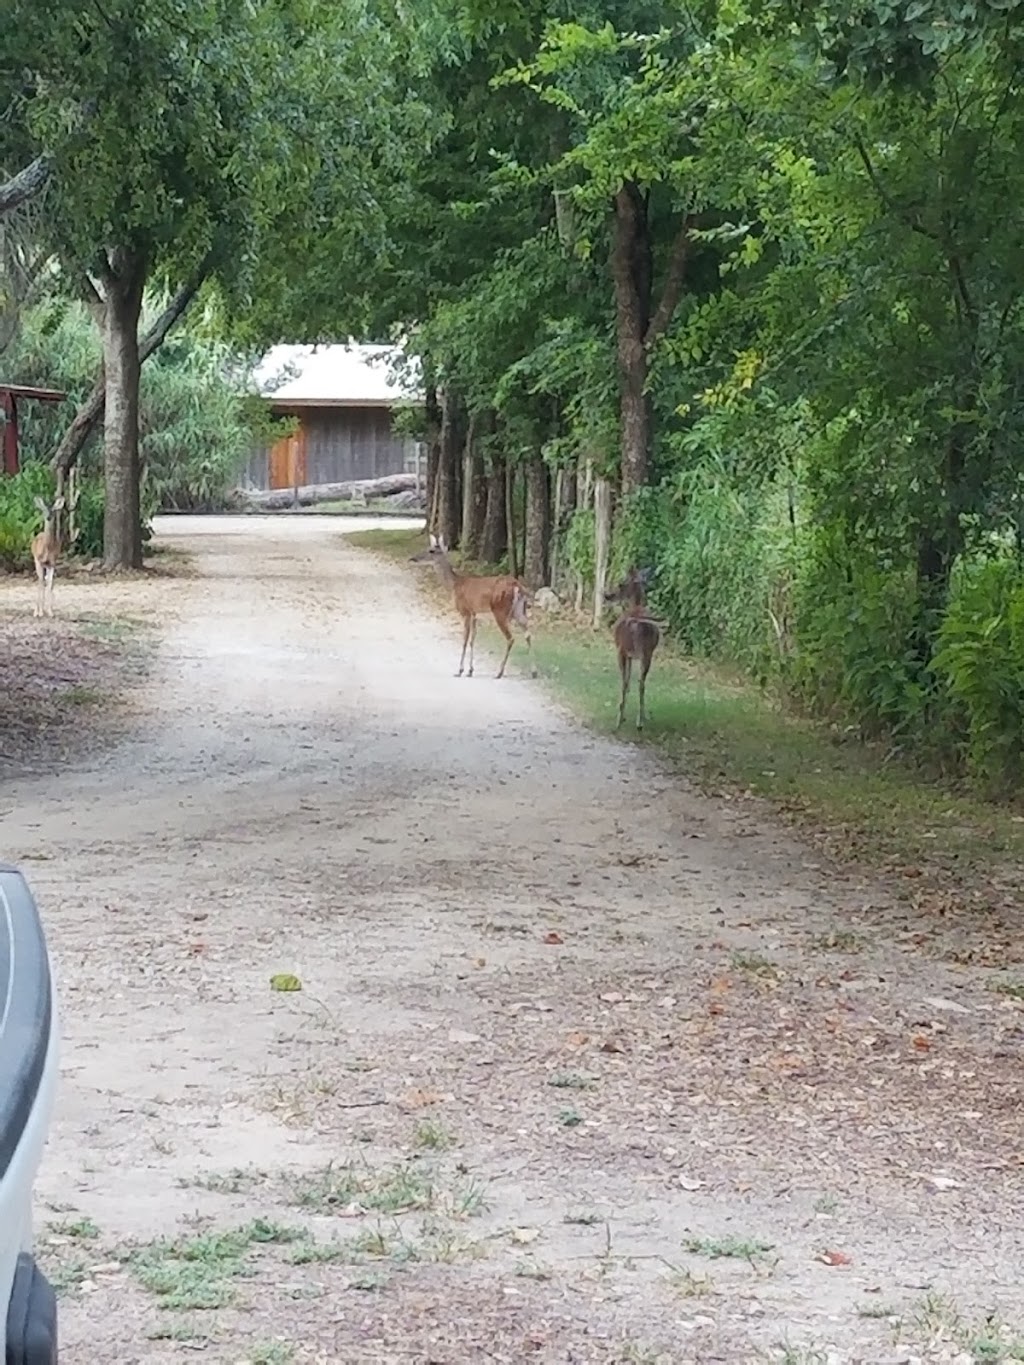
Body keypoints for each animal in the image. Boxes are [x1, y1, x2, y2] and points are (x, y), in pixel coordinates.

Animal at [412, 532, 540, 682]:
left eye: (431, 550)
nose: (414, 558)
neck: (454, 585)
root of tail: (517, 586)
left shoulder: (465, 611)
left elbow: (465, 640)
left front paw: (460, 670)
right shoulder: (474, 613)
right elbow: (473, 640)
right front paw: (470, 670)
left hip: (500, 610)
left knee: (511, 638)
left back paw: (499, 672)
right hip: (519, 610)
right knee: (528, 634)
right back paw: (534, 672)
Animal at [606, 567, 660, 737]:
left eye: (621, 583)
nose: (608, 595)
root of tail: (637, 622)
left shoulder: (625, 653)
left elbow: (627, 681)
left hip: (622, 650)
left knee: (626, 682)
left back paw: (620, 720)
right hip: (647, 653)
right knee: (641, 683)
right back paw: (640, 722)